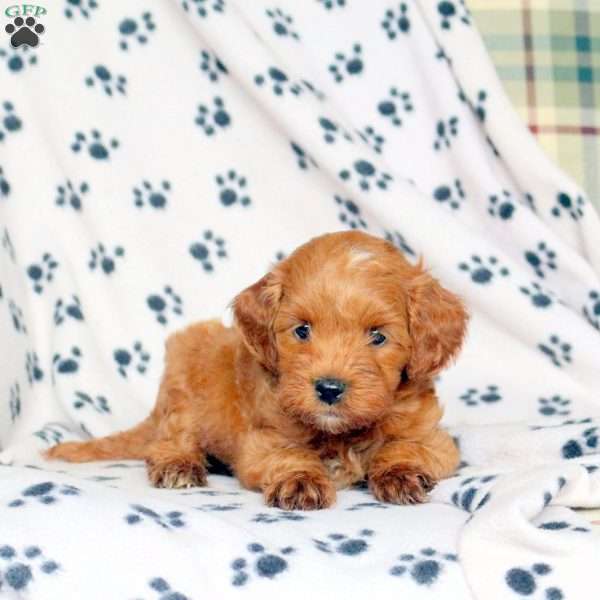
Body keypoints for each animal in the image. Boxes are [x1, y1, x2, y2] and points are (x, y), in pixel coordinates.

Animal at [48, 232, 468, 508]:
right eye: (302, 330)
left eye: (378, 337)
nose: (329, 389)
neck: (340, 434)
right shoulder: (262, 440)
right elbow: (287, 455)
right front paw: (300, 480)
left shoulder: (431, 436)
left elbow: (406, 446)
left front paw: (399, 473)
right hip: (184, 377)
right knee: (169, 439)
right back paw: (179, 465)